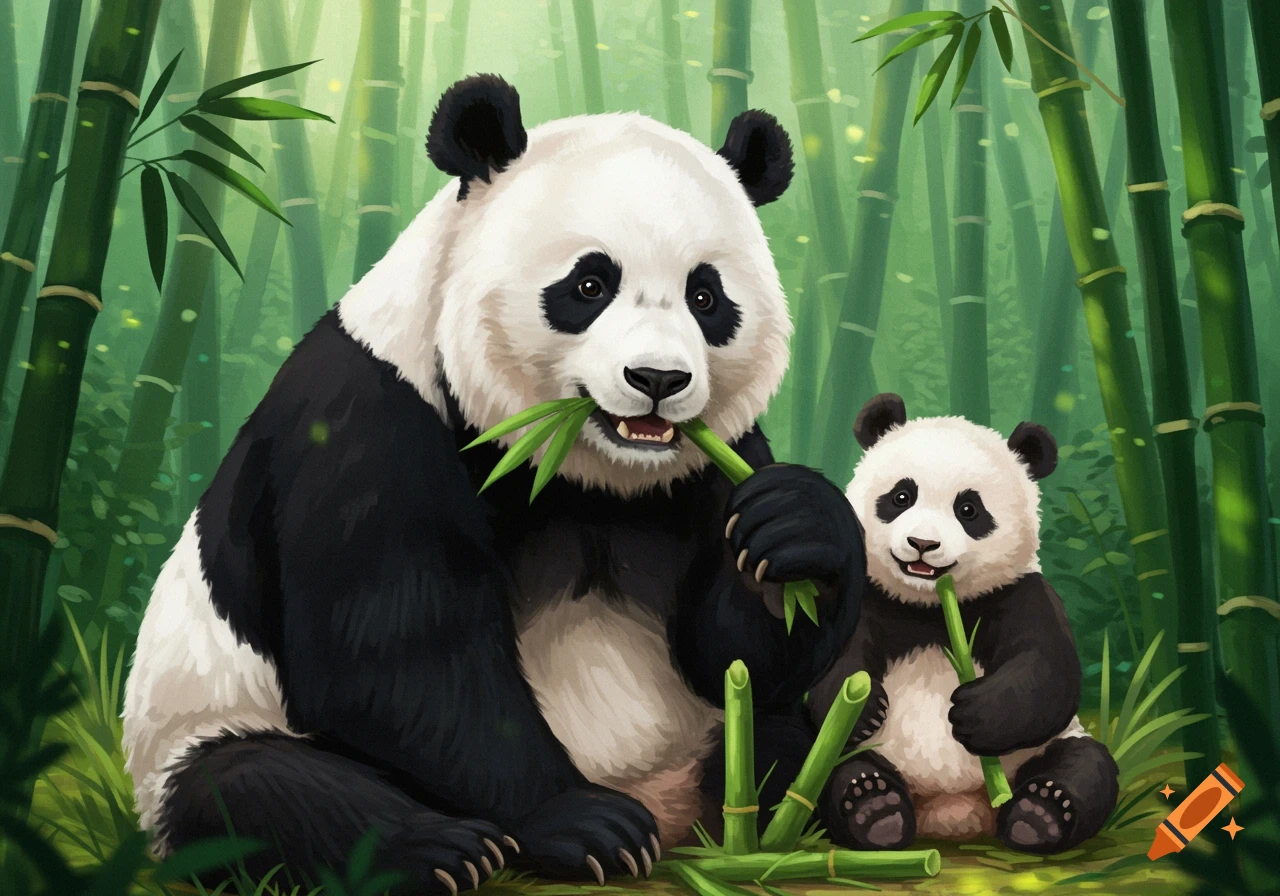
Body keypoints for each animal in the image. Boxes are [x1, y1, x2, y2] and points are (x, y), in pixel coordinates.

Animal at [122, 75, 866, 892]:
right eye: (590, 283)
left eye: (706, 298)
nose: (658, 380)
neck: (590, 474)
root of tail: (670, 808)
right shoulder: (369, 423)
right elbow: (397, 656)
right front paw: (581, 821)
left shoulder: (711, 462)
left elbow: (731, 654)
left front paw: (796, 527)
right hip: (195, 729)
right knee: (259, 794)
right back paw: (446, 849)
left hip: (708, 746)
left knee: (776, 739)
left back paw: (856, 800)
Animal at [806, 393, 1118, 855]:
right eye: (902, 496)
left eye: (968, 509)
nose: (922, 544)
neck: (932, 606)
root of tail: (952, 814)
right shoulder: (868, 595)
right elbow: (831, 664)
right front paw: (864, 706)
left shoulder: (1020, 595)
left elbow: (1048, 672)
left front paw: (975, 712)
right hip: (830, 753)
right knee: (828, 769)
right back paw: (874, 807)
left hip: (1046, 748)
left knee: (1087, 765)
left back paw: (1038, 815)